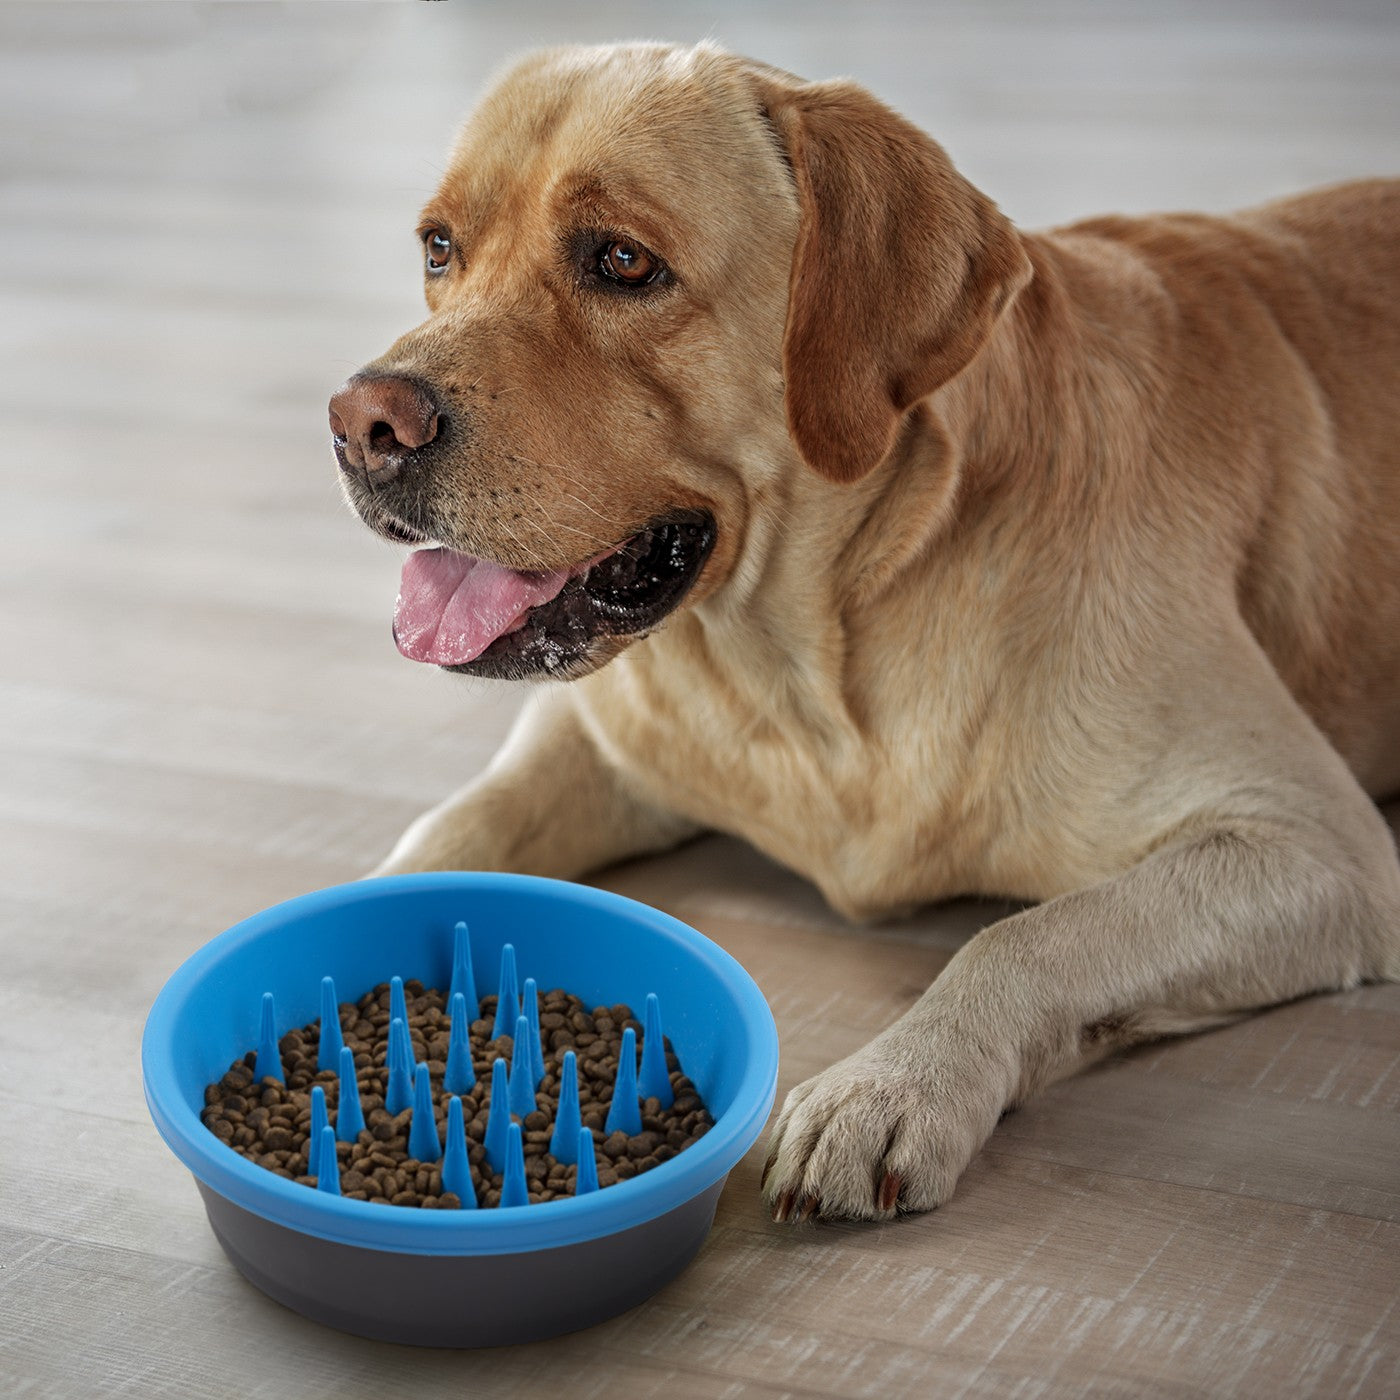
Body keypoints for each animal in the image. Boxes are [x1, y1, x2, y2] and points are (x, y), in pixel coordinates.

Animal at [330, 40, 1400, 1226]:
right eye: (439, 247)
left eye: (621, 260)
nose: (363, 424)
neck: (810, 668)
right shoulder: (593, 748)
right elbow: (447, 832)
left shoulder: (1311, 844)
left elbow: (1024, 934)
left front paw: (891, 1085)